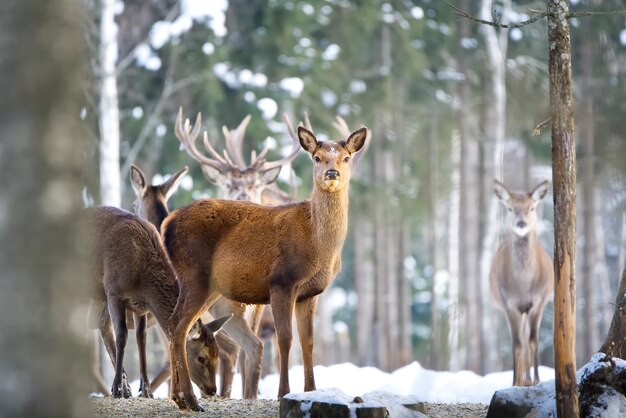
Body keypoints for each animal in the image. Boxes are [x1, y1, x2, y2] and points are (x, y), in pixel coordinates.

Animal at [83, 205, 229, 398]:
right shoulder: (114, 291)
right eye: (201, 357)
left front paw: (145, 391)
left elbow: (141, 339)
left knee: (101, 325)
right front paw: (117, 389)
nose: (212, 390)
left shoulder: (140, 306)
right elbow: (122, 335)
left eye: (217, 354)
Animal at [488, 178, 552, 386]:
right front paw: (515, 382)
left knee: (526, 339)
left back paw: (529, 379)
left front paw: (537, 380)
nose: (521, 223)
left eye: (532, 208)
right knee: (521, 341)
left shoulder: (538, 302)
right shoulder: (509, 304)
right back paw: (524, 379)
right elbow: (517, 343)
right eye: (510, 208)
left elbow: (533, 340)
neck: (523, 286)